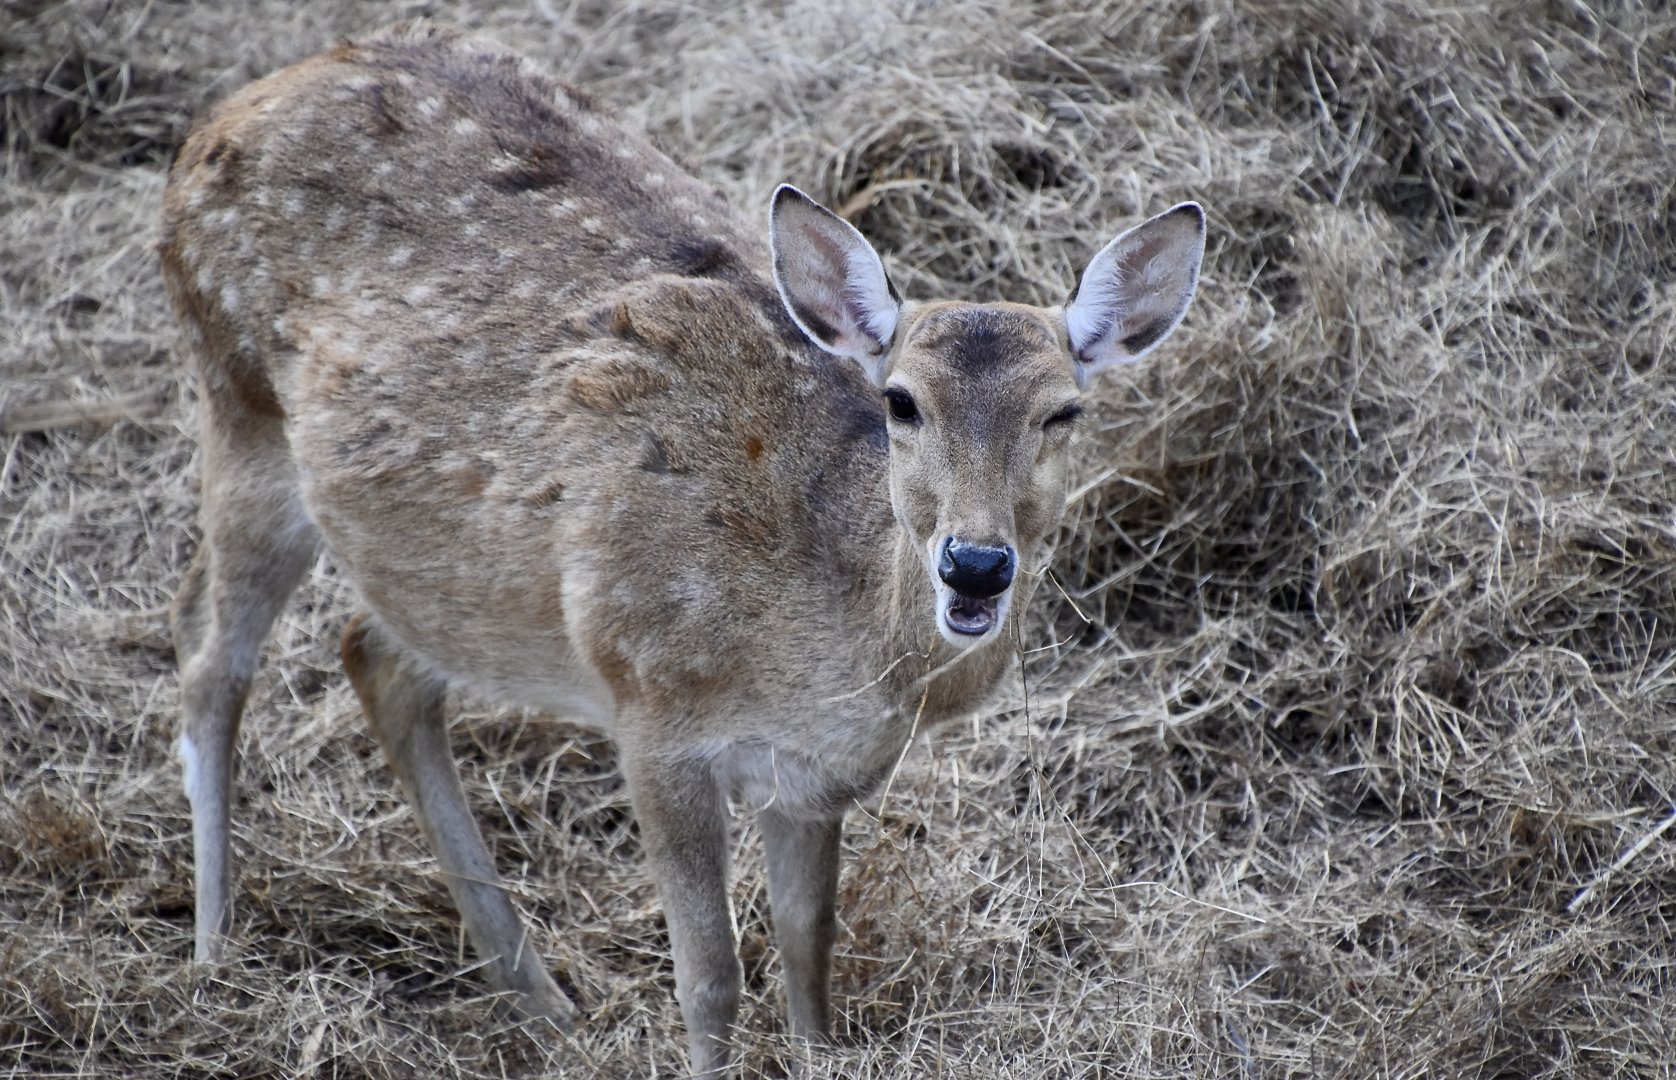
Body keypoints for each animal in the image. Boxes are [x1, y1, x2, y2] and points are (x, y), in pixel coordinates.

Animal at [160, 22, 1204, 1076]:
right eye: (903, 401)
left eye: (1063, 412)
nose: (975, 563)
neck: (830, 655)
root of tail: (221, 113)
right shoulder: (652, 710)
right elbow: (711, 979)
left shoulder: (815, 778)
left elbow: (808, 948)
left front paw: (815, 1049)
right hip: (239, 402)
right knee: (208, 653)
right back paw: (213, 948)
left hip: (426, 558)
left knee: (373, 653)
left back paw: (540, 1000)